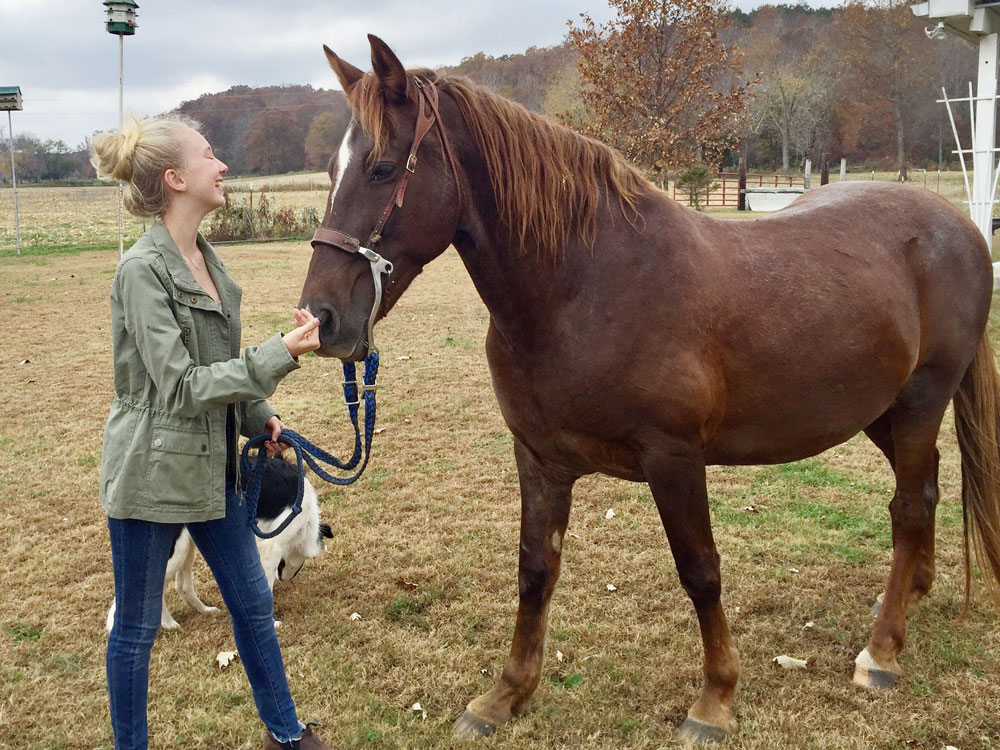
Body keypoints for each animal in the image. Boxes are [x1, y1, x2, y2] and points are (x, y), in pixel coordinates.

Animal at [106, 462, 332, 632]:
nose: (285, 578)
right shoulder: (271, 546)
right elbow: (266, 588)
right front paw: (272, 622)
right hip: (175, 551)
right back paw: (167, 623)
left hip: (188, 545)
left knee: (183, 586)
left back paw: (204, 610)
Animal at [300, 35, 1000, 748]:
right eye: (330, 172)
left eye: (383, 169)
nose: (322, 319)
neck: (586, 286)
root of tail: (959, 226)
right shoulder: (538, 458)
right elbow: (535, 568)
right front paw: (506, 694)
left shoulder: (675, 458)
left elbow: (700, 571)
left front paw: (715, 700)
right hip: (879, 413)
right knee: (921, 492)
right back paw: (908, 595)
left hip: (920, 401)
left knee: (910, 506)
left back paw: (882, 651)